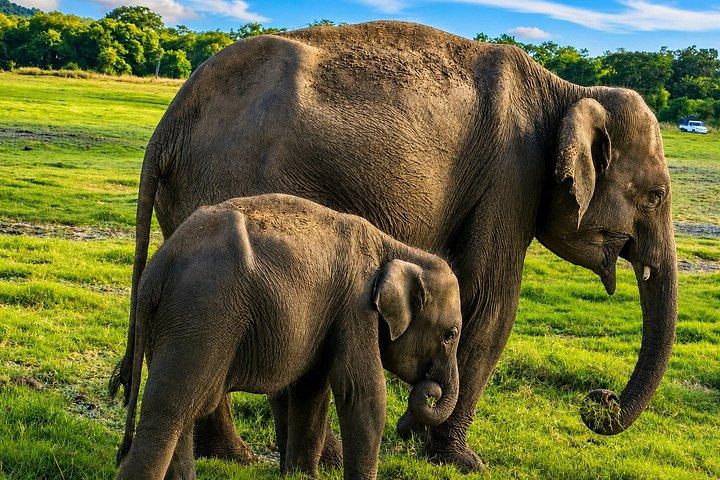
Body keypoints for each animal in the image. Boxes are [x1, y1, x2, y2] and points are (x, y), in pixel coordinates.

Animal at [116, 194, 463, 480]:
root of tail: (159, 266)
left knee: (185, 411)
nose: (430, 390)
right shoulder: (356, 307)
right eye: (450, 334)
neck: (396, 248)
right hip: (202, 311)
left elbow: (310, 390)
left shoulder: (328, 315)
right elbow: (360, 391)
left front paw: (301, 476)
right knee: (169, 412)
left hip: (173, 322)